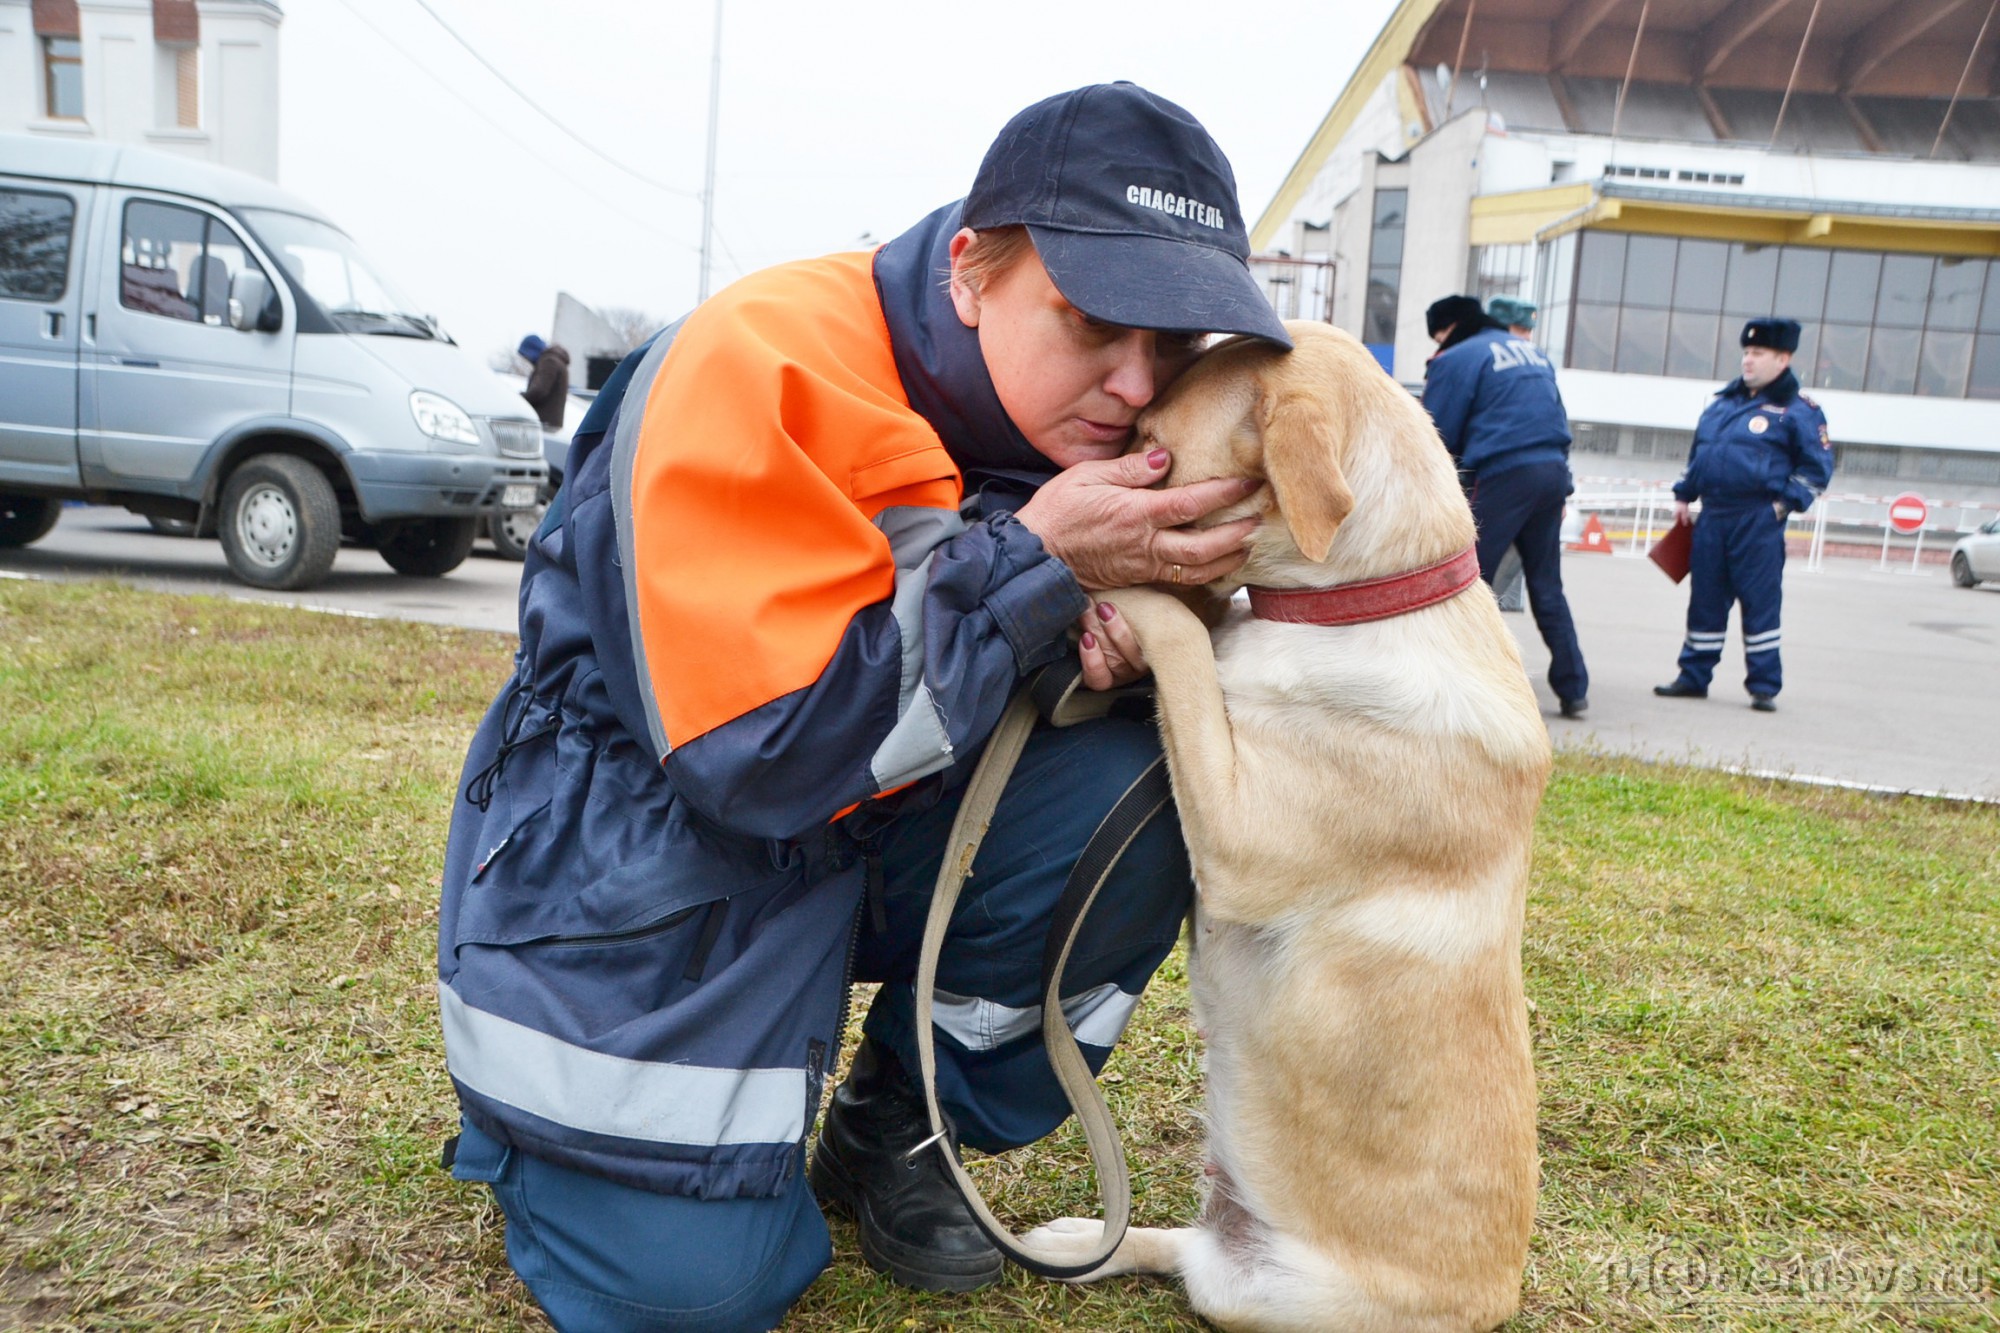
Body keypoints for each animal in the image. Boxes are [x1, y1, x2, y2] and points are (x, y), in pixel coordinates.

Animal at [1024, 322, 1552, 1328]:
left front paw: (1099, 581)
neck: (1360, 596)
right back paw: (1078, 1242)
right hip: (1230, 1265)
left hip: (1280, 1297)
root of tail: (1496, 1306)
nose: (1055, 491)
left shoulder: (1237, 839)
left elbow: (1182, 637)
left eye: (1150, 442)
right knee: (1166, 1246)